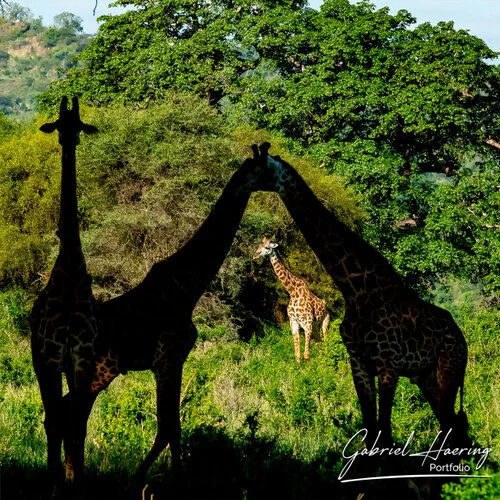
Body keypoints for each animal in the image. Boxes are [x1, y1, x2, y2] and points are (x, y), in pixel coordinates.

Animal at [63, 142, 280, 484]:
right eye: (268, 167)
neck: (189, 285)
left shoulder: (175, 360)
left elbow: (173, 428)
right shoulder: (167, 359)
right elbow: (168, 429)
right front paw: (150, 481)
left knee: (66, 415)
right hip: (99, 371)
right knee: (71, 417)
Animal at [254, 143, 468, 448]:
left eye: (265, 247)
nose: (253, 255)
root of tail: (464, 340)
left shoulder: (386, 366)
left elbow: (383, 431)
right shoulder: (349, 357)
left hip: (447, 370)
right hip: (425, 376)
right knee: (452, 425)